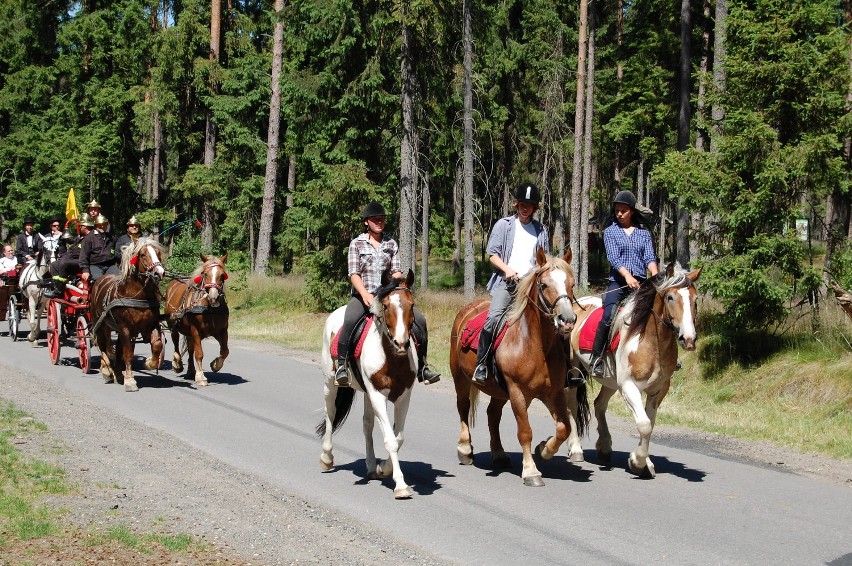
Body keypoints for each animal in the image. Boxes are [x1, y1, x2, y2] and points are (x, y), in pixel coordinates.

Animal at [88, 237, 166, 392]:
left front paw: (149, 363)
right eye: (142, 254)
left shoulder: (149, 325)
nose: (159, 272)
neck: (138, 294)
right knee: (102, 345)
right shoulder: (126, 328)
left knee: (116, 349)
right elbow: (128, 353)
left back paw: (118, 374)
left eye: (158, 253)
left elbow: (157, 344)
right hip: (100, 323)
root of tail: (100, 280)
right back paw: (106, 371)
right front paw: (130, 381)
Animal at [163, 255, 228, 388]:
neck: (209, 309)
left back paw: (191, 370)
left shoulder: (222, 330)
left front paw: (215, 365)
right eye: (205, 274)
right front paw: (201, 377)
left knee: (190, 348)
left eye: (222, 275)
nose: (213, 297)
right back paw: (177, 363)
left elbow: (225, 351)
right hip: (173, 324)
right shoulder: (196, 330)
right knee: (175, 340)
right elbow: (199, 353)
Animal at [318, 270, 422, 502]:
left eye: (411, 305)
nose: (401, 343)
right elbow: (390, 440)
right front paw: (401, 485)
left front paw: (384, 468)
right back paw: (327, 458)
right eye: (386, 306)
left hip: (366, 394)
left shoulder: (403, 397)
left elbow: (398, 437)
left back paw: (372, 466)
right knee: (331, 414)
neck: (392, 358)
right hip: (330, 383)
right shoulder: (378, 395)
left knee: (367, 425)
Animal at [446, 251, 592, 490]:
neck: (535, 345)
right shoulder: (518, 393)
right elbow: (525, 432)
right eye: (544, 284)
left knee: (493, 414)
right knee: (463, 407)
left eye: (571, 283)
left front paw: (544, 450)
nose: (567, 320)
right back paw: (465, 449)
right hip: (461, 378)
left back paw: (499, 454)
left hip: (499, 391)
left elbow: (564, 428)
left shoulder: (553, 393)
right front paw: (531, 471)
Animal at [568, 266, 704, 480]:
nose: (688, 339)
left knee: (599, 405)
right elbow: (644, 424)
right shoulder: (629, 387)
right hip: (574, 373)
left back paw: (605, 447)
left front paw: (645, 462)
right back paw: (576, 449)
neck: (651, 341)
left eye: (695, 299)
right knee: (572, 406)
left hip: (610, 380)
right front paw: (637, 462)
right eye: (670, 297)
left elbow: (650, 424)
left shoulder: (658, 390)